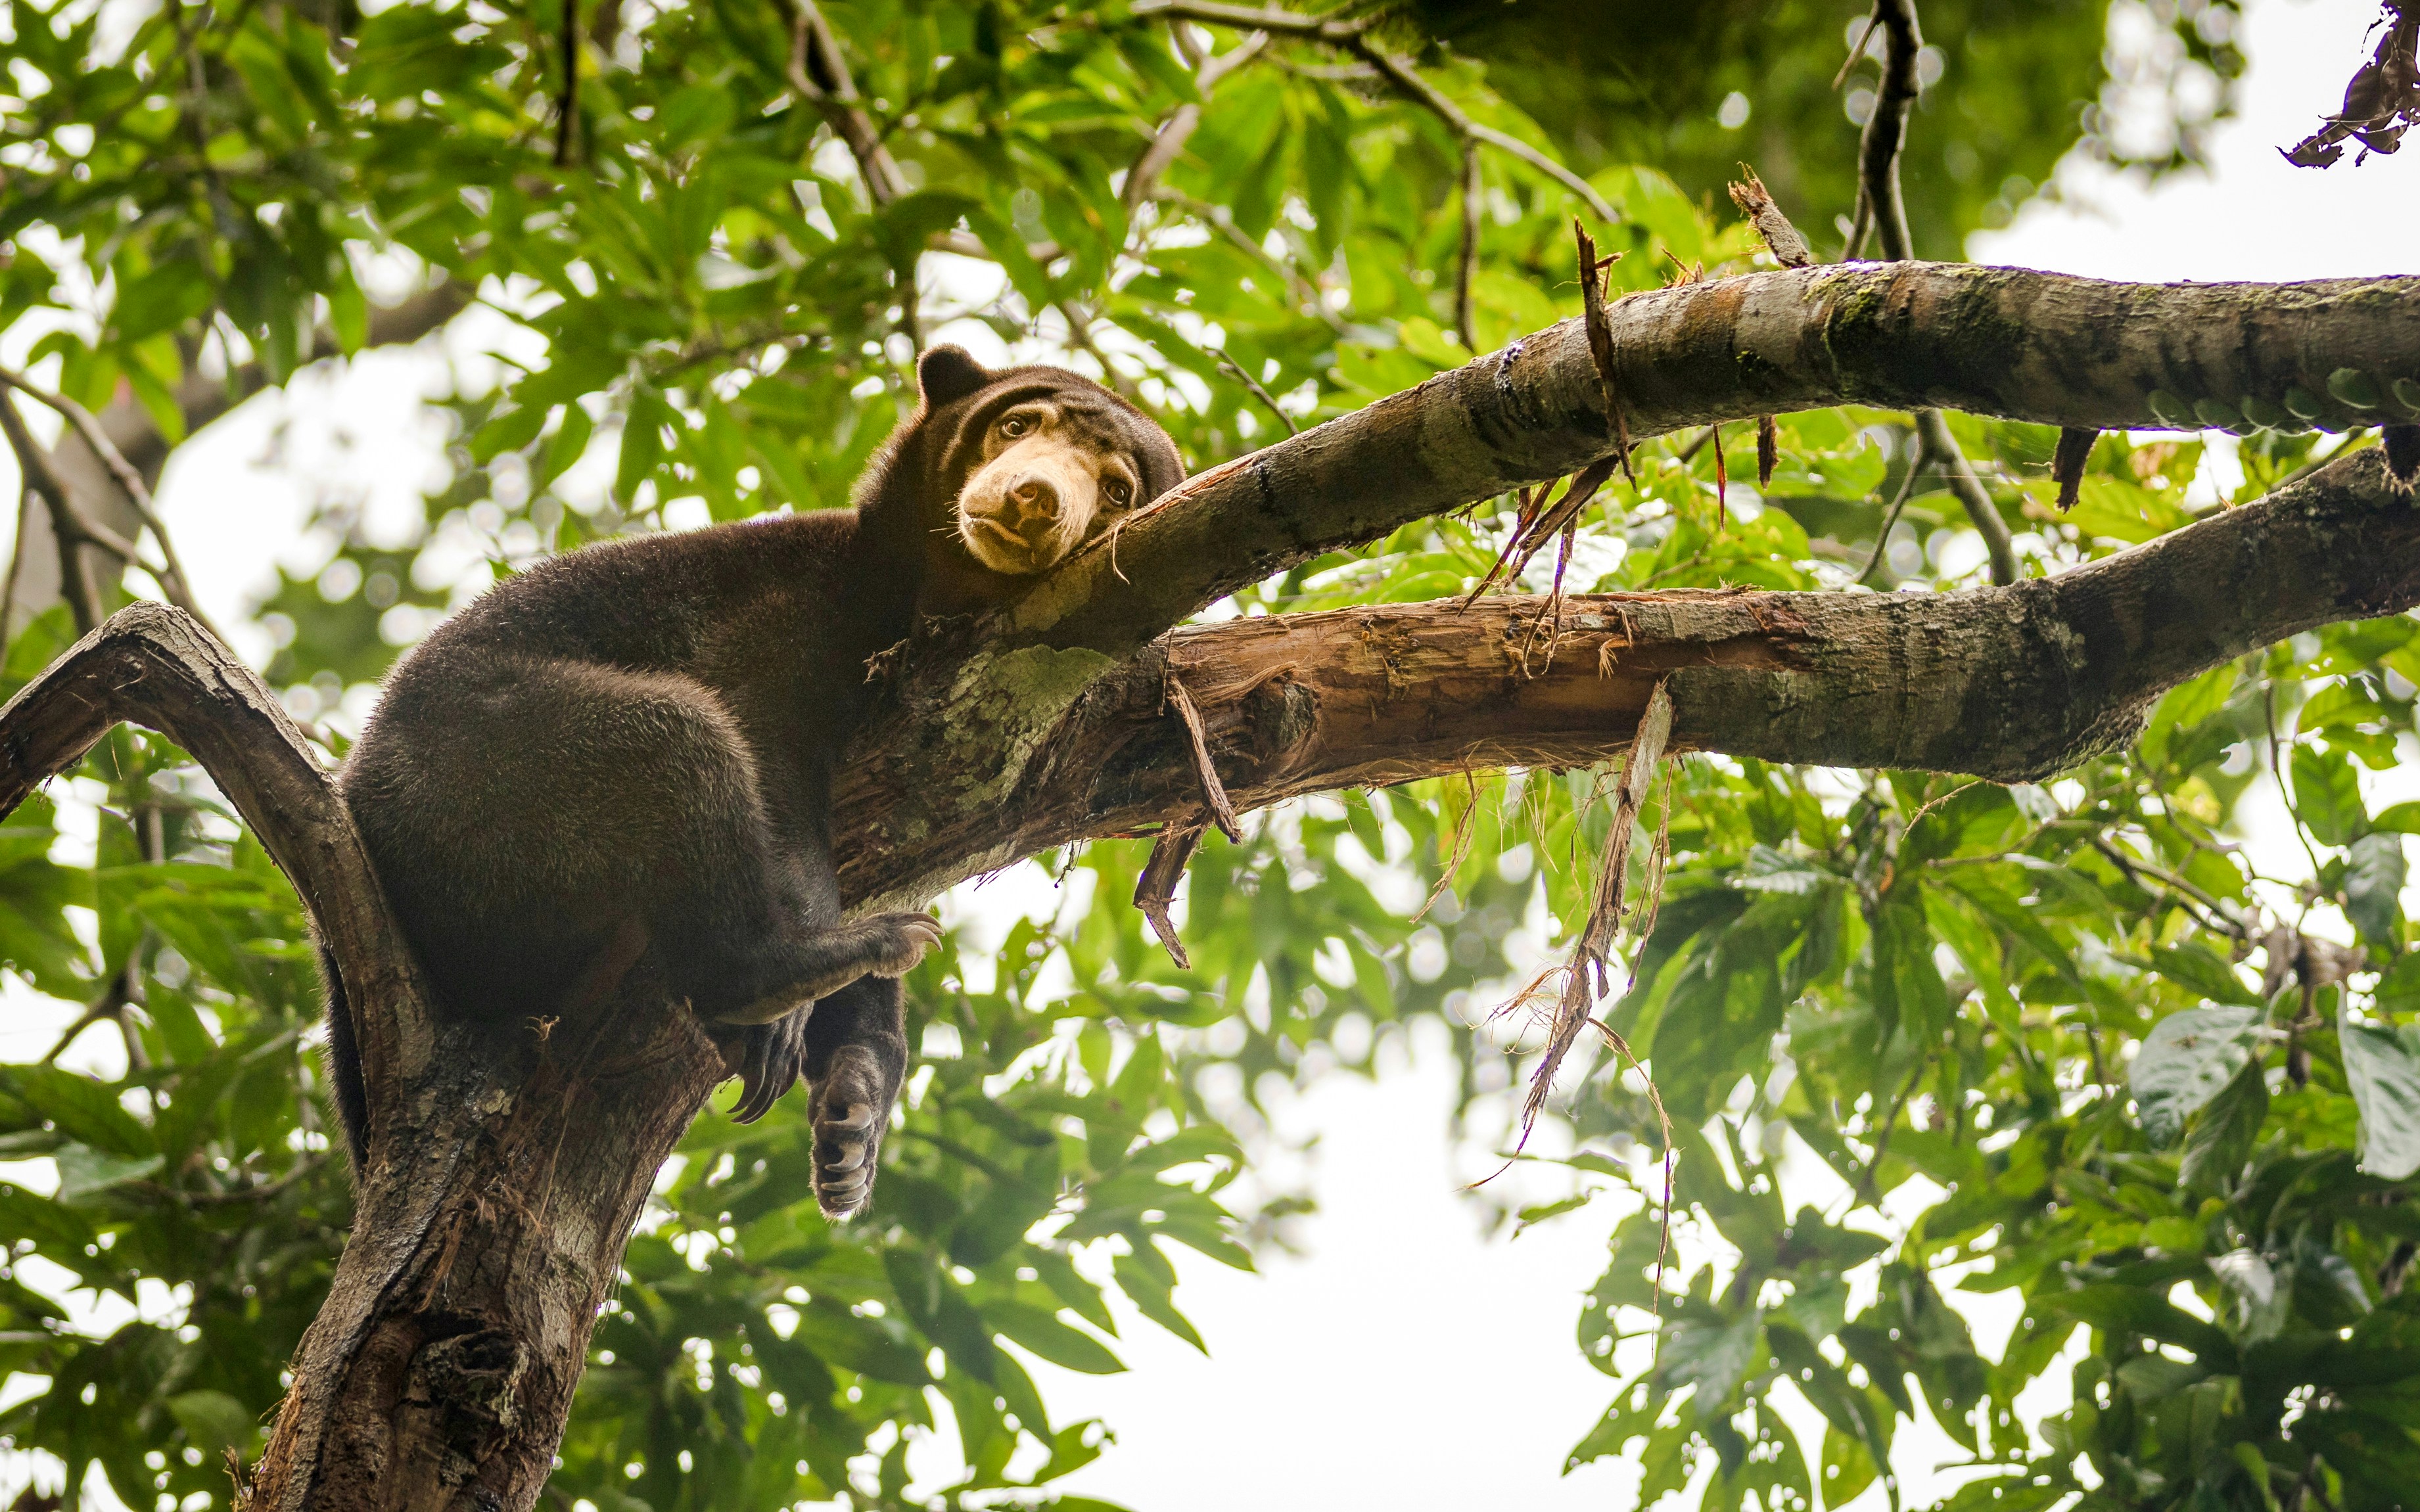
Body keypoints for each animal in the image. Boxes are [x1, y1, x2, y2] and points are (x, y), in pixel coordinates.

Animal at [324, 346, 1186, 1215]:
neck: (918, 594)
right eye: (1016, 425)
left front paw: (856, 1109)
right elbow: (769, 761)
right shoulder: (777, 618)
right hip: (479, 768)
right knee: (677, 738)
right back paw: (786, 971)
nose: (1034, 497)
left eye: (1117, 489)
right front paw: (803, 1001)